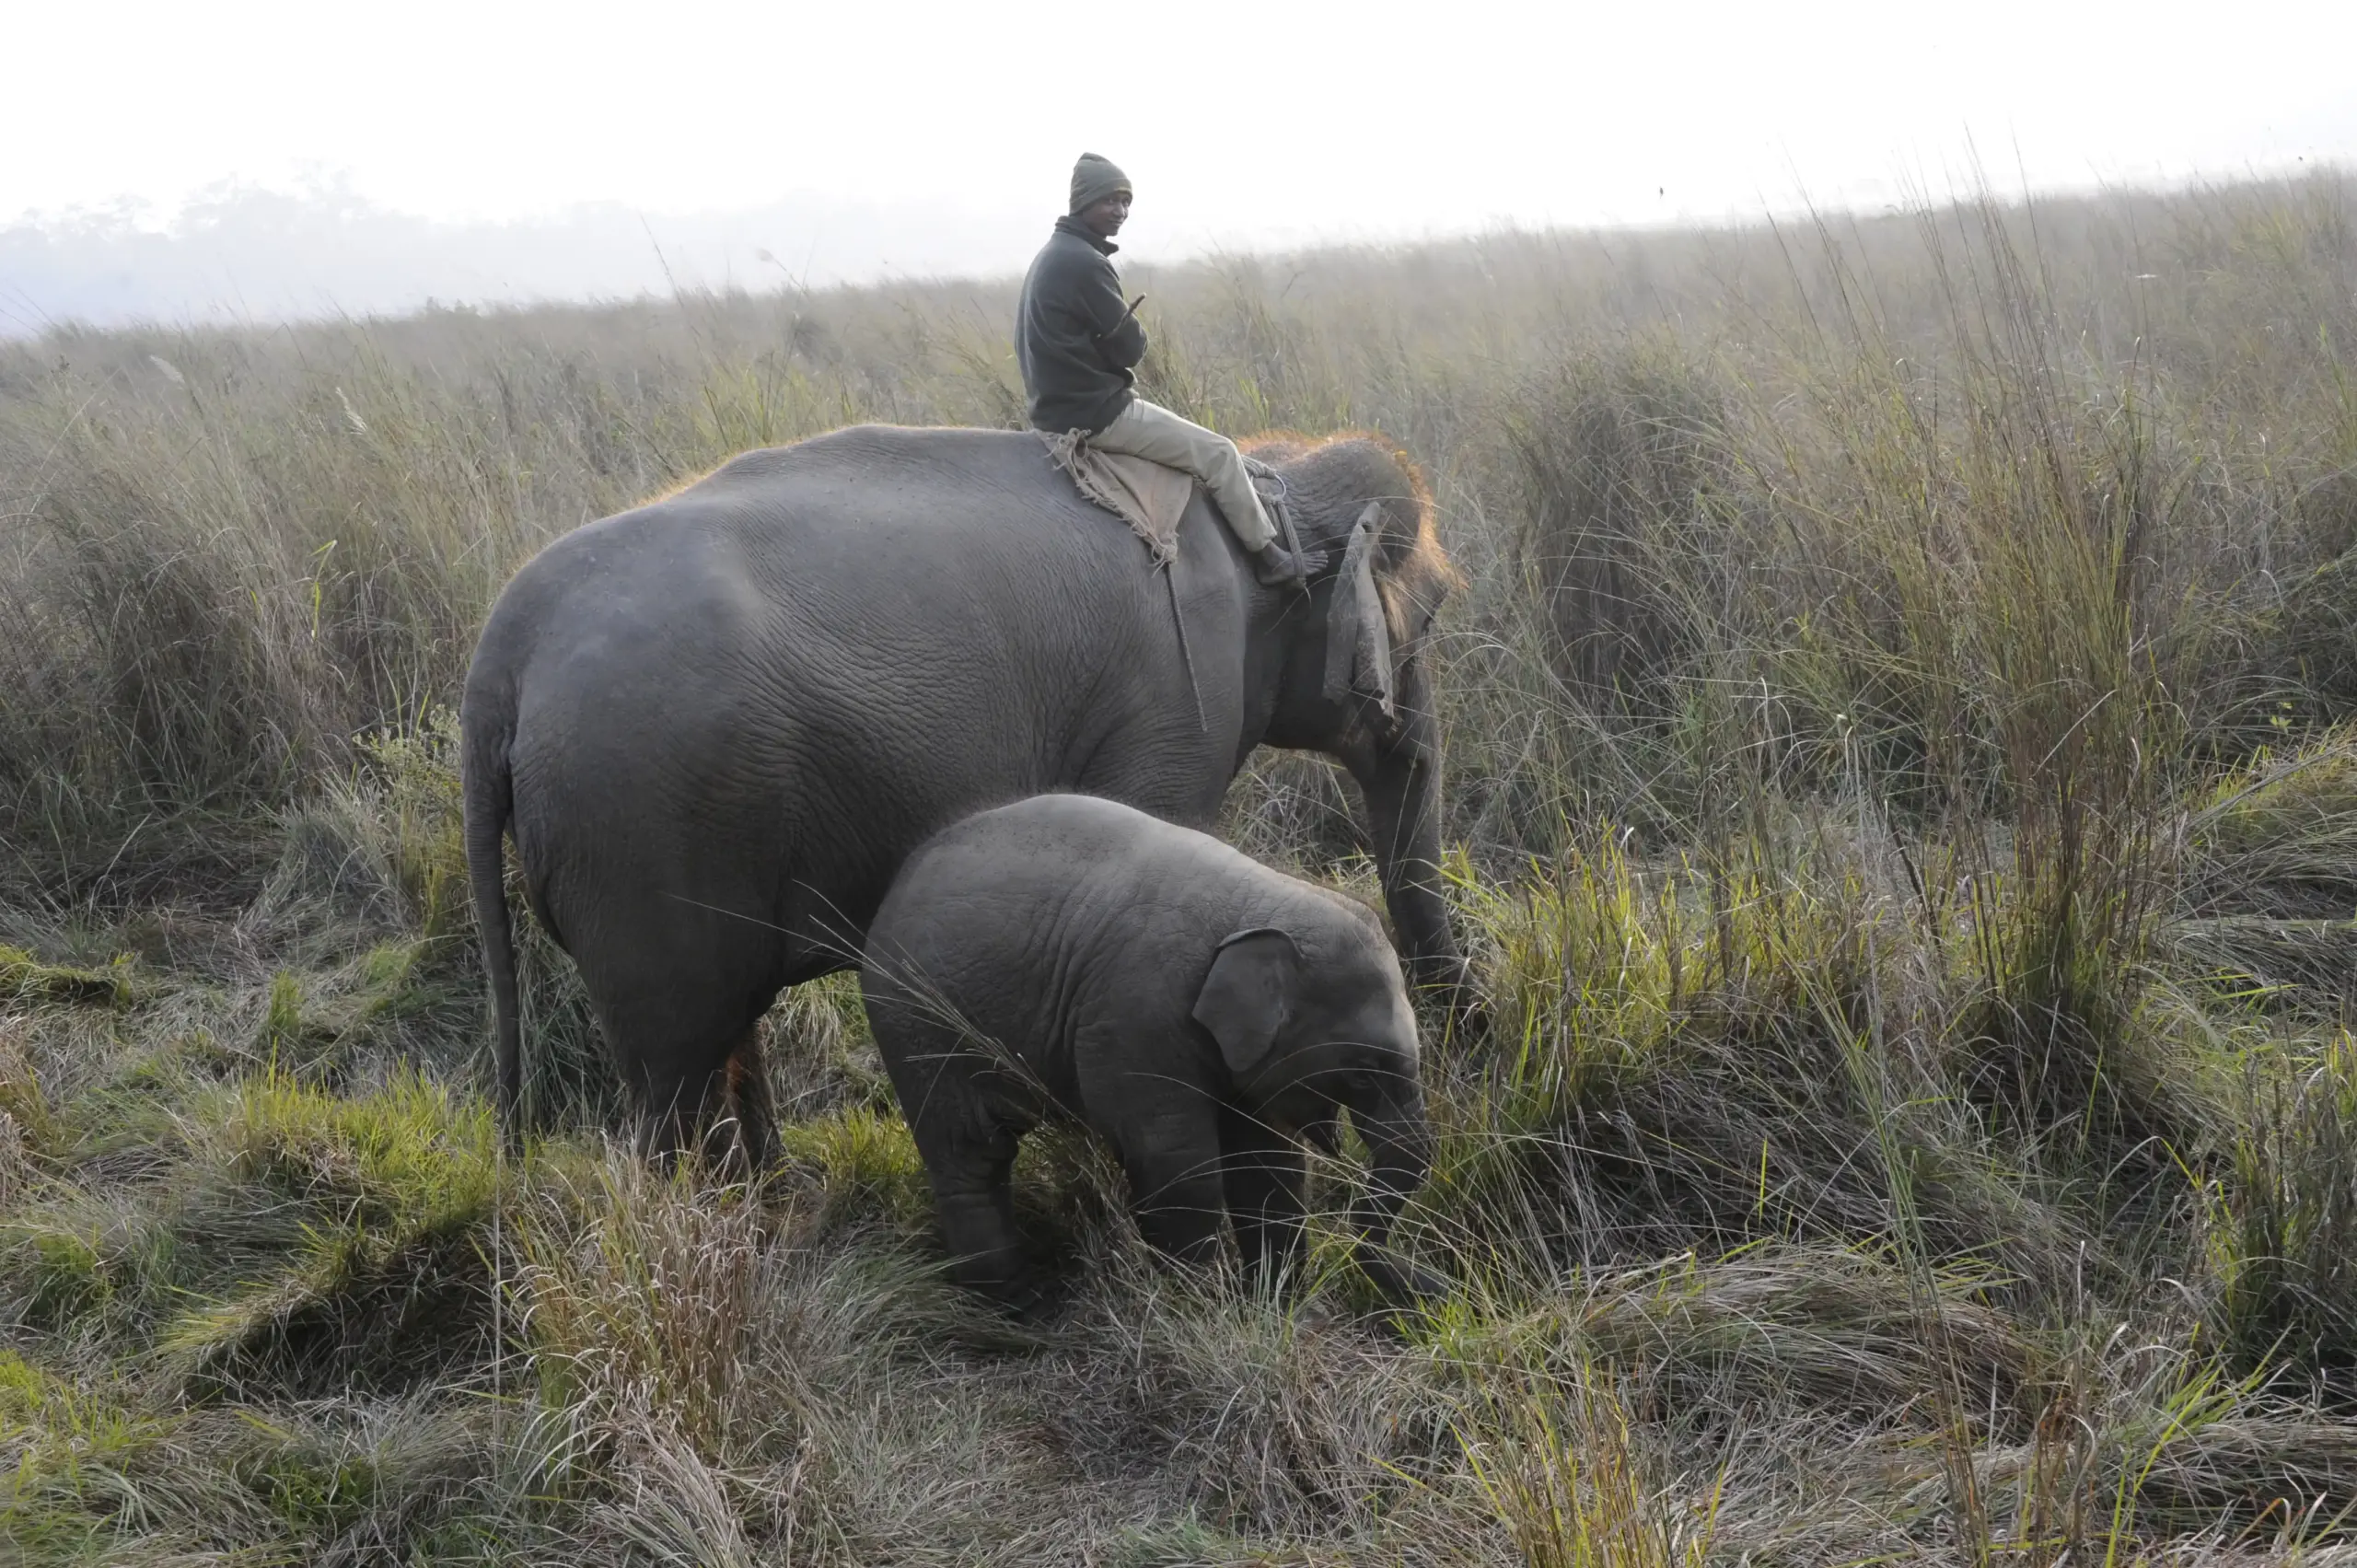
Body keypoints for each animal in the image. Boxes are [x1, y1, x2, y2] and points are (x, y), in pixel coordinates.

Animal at [461, 423, 1466, 1158]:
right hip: (640, 825)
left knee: (723, 1030)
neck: (1269, 487)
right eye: (1431, 616)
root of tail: (502, 650)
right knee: (674, 1067)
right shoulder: (1179, 697)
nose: (1468, 1028)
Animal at [860, 791, 1438, 1305]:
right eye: (1363, 1072)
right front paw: (1202, 1305)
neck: (1259, 902)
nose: (1436, 1286)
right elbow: (1178, 1167)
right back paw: (1015, 1306)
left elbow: (1271, 1168)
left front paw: (1282, 1308)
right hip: (917, 1028)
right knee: (971, 1158)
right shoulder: (1136, 1020)